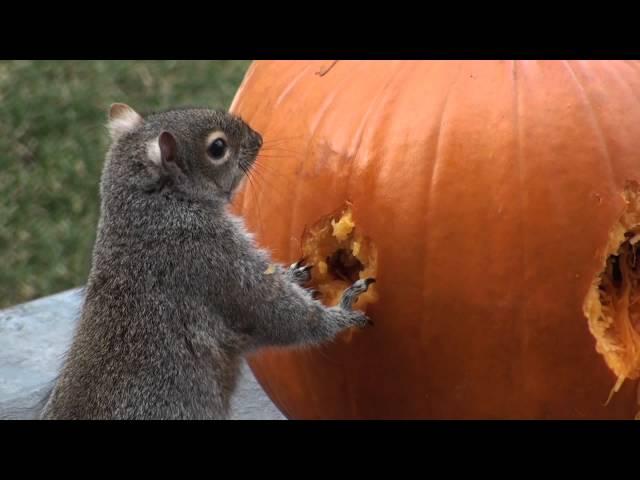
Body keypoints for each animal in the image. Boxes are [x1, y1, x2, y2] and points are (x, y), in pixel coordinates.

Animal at [36, 103, 376, 418]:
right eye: (217, 148)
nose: (259, 138)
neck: (149, 215)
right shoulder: (211, 259)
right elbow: (278, 313)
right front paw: (342, 313)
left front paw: (293, 273)